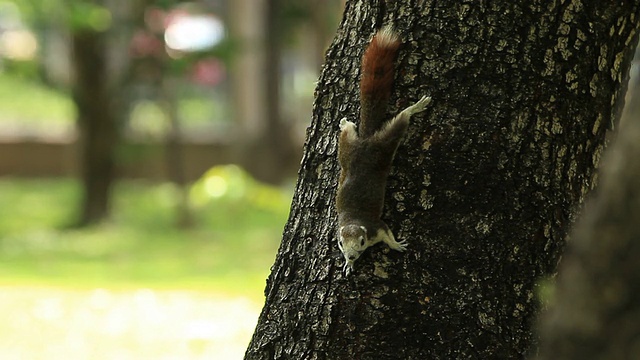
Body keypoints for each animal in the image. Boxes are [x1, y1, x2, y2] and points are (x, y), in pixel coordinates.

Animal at [336, 25, 430, 276]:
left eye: (361, 241)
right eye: (340, 244)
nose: (351, 256)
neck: (354, 220)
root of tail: (367, 140)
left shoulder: (377, 227)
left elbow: (388, 235)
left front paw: (397, 245)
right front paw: (349, 264)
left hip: (384, 145)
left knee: (400, 121)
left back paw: (415, 107)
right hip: (346, 150)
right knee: (348, 133)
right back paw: (344, 123)